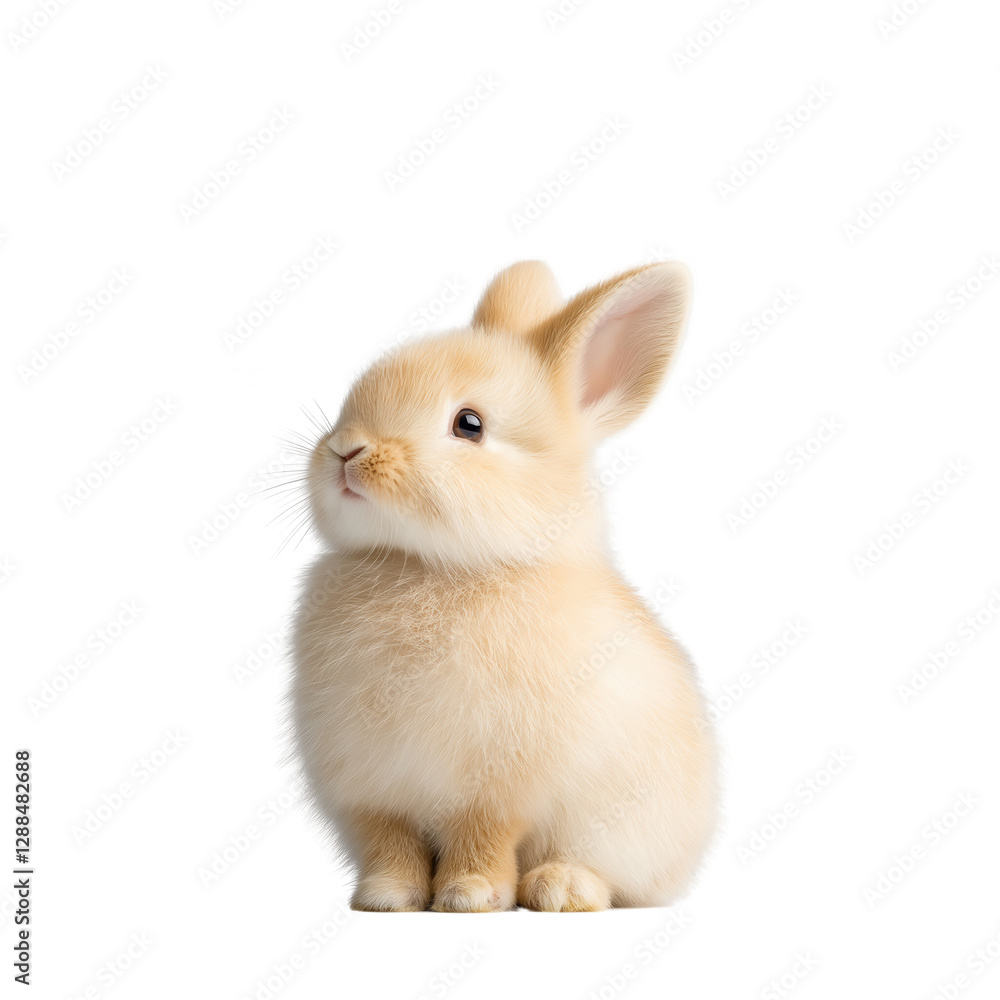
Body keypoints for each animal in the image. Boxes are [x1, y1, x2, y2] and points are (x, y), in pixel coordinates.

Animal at [291, 260, 718, 912]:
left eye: (469, 425)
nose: (346, 450)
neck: (426, 565)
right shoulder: (373, 790)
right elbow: (391, 843)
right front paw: (386, 897)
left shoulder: (496, 789)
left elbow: (483, 837)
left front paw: (469, 896)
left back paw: (561, 887)